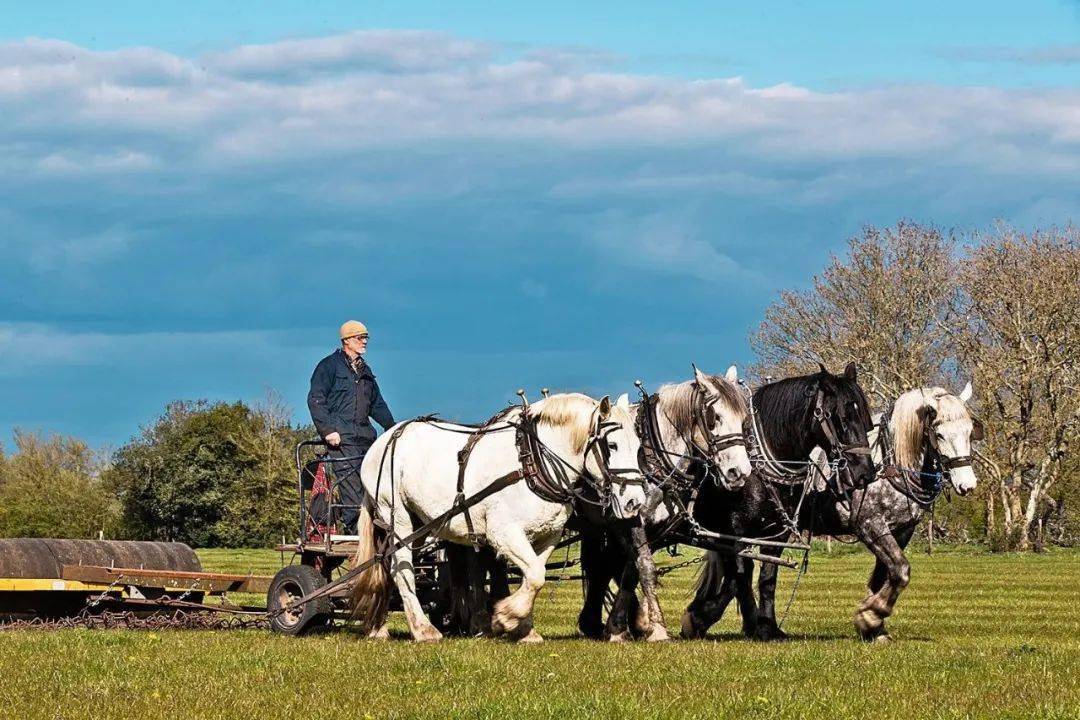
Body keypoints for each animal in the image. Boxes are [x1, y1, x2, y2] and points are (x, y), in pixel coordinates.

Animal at [352, 390, 648, 643]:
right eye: (612, 445)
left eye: (638, 446)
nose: (635, 502)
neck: (532, 462)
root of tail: (385, 439)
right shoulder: (503, 533)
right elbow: (536, 575)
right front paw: (505, 617)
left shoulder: (547, 536)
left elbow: (534, 575)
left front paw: (523, 628)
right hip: (397, 516)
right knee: (401, 568)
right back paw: (423, 629)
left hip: (417, 522)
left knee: (386, 566)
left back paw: (378, 627)